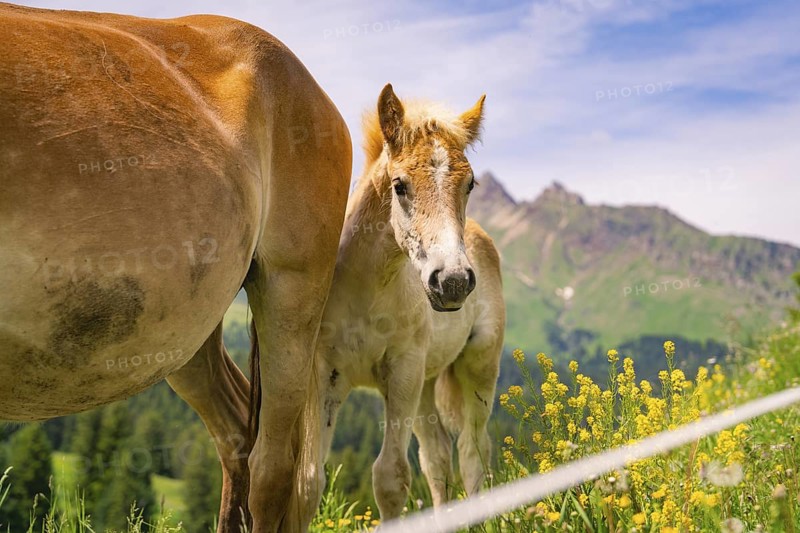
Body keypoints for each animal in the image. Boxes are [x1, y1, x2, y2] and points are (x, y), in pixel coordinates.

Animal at [308, 84, 505, 520]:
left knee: (473, 452)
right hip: (427, 383)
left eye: (470, 184)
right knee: (437, 456)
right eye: (399, 185)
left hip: (477, 366)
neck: (368, 289)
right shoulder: (325, 375)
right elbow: (308, 479)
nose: (452, 282)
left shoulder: (402, 371)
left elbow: (391, 477)